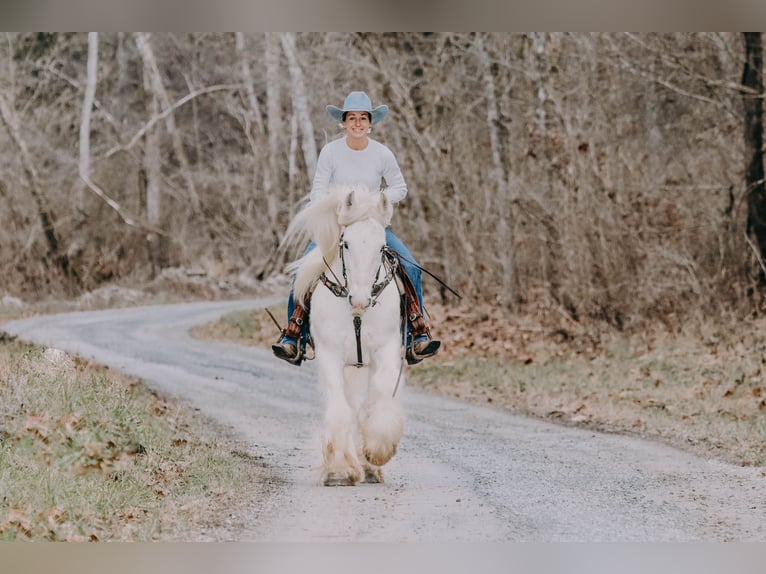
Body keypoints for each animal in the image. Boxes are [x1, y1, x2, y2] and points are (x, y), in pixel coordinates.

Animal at [284, 187, 408, 488]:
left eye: (381, 247)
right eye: (347, 244)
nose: (360, 300)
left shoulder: (385, 350)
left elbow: (383, 393)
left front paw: (377, 452)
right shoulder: (330, 355)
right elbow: (340, 407)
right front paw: (339, 470)